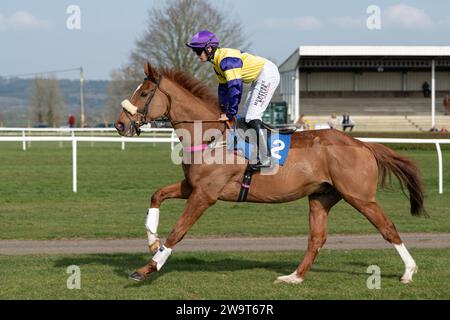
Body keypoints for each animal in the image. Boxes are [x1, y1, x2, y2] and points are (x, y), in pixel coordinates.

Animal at [114, 61, 424, 284]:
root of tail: (362, 144)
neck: (211, 136)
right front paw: (152, 242)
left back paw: (409, 271)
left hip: (359, 196)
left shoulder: (205, 194)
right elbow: (156, 195)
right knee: (317, 238)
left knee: (388, 227)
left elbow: (178, 231)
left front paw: (148, 268)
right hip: (321, 197)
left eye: (143, 93)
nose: (119, 124)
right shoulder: (192, 186)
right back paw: (294, 277)